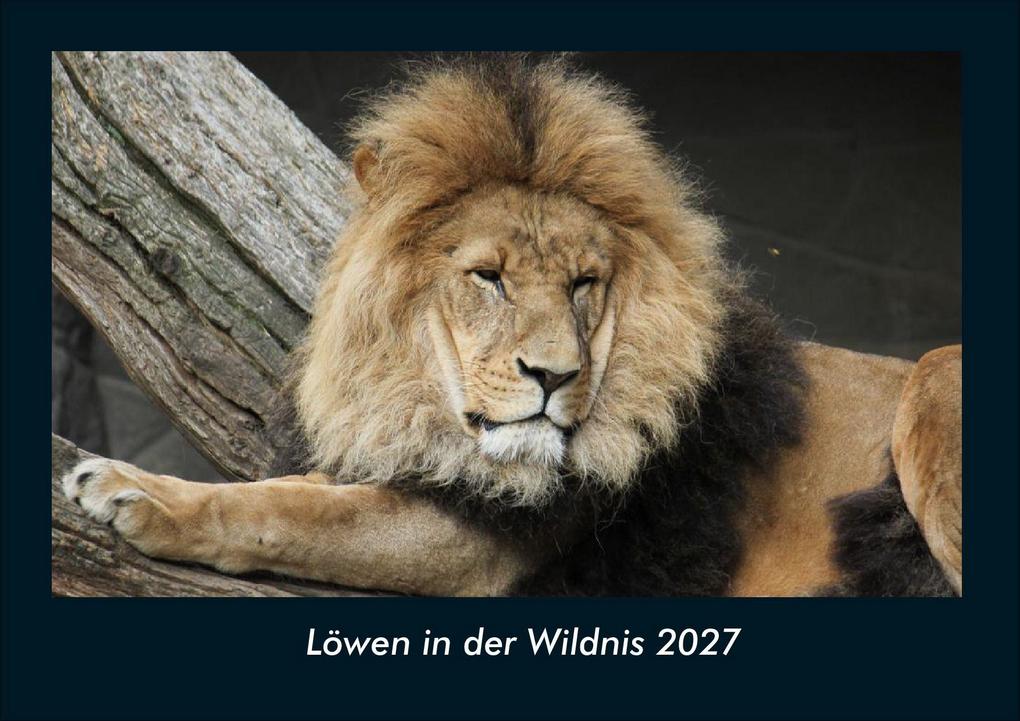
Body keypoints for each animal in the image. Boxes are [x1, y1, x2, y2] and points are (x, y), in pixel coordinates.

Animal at [61, 55, 962, 597]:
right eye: (488, 277)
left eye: (584, 283)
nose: (554, 376)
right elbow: (297, 492)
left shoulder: (482, 542)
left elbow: (289, 517)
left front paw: (136, 495)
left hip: (931, 374)